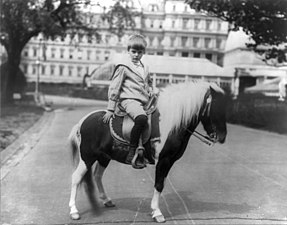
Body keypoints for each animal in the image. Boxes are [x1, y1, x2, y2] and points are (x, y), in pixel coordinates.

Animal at [67, 81, 227, 221]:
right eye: (215, 108)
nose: (222, 137)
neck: (171, 124)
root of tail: (82, 122)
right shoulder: (163, 161)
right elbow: (159, 184)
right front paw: (157, 213)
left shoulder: (169, 162)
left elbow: (161, 184)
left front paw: (154, 210)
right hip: (87, 157)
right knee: (76, 178)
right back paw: (74, 211)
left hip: (104, 157)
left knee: (97, 176)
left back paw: (106, 200)